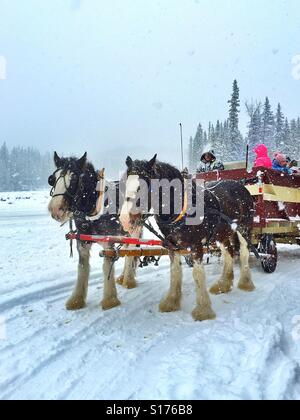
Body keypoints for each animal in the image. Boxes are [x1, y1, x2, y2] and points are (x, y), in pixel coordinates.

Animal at [48, 153, 139, 310]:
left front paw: (110, 300)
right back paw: (123, 277)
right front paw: (76, 300)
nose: (55, 209)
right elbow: (82, 267)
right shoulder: (82, 242)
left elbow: (106, 266)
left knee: (130, 253)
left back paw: (128, 280)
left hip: (133, 229)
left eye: (74, 178)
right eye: (52, 179)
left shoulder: (108, 242)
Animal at [119, 154, 255, 322]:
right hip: (221, 234)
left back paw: (245, 283)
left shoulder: (196, 246)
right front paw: (171, 302)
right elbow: (175, 272)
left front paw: (203, 310)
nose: (125, 219)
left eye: (145, 185)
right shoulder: (172, 246)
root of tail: (241, 185)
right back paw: (224, 284)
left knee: (244, 253)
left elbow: (198, 275)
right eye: (124, 185)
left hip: (244, 229)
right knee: (228, 252)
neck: (181, 209)